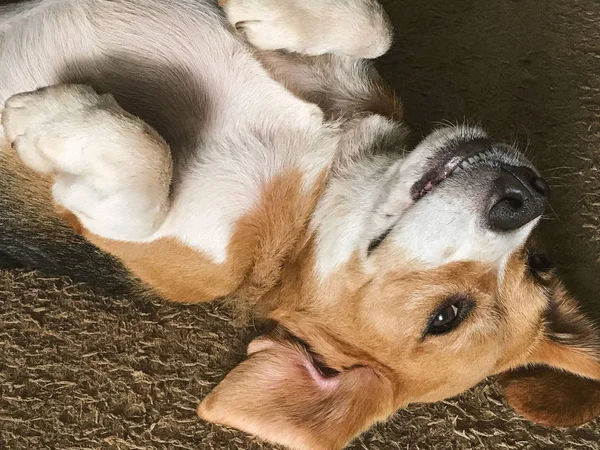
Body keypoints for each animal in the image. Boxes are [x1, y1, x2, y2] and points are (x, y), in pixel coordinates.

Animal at [1, 0, 600, 450]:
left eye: (445, 317)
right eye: (541, 262)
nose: (527, 196)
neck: (324, 176)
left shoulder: (184, 266)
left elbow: (147, 173)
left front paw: (51, 120)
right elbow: (374, 26)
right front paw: (267, 13)